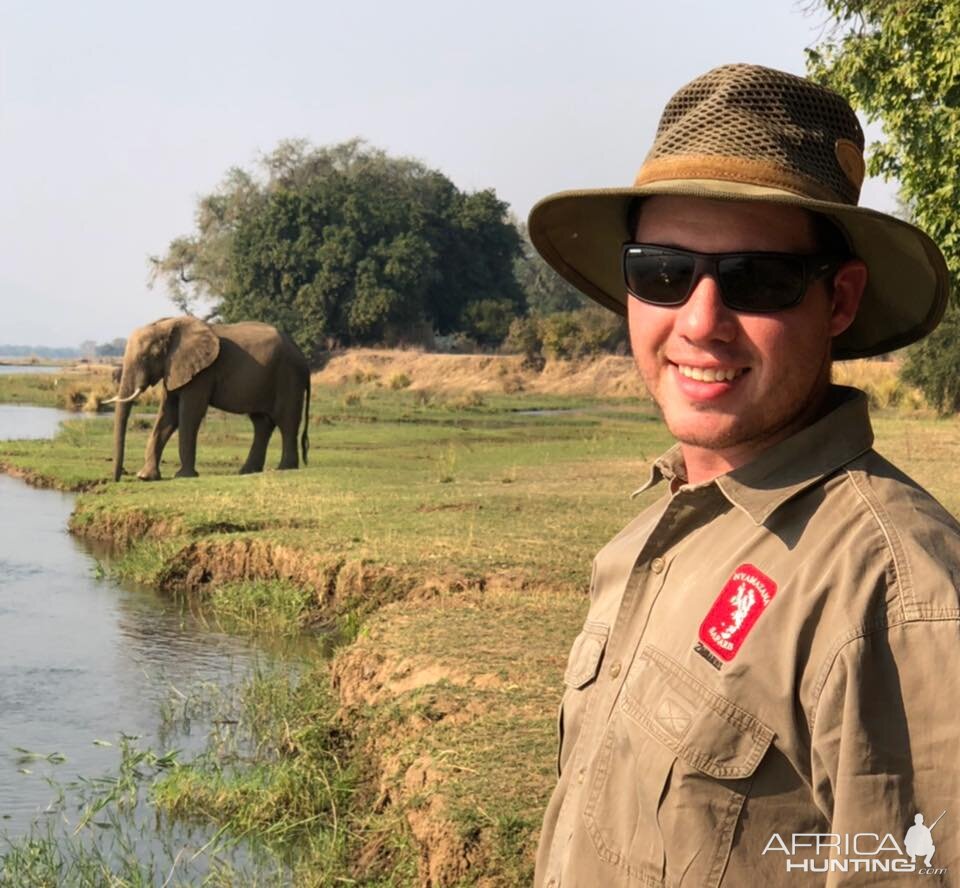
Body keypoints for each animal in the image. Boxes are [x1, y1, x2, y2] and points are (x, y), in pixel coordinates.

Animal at [108, 320, 312, 482]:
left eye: (144, 357)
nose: (117, 478)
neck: (167, 325)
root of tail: (302, 355)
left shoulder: (202, 373)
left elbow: (189, 414)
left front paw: (183, 476)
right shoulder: (174, 369)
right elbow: (167, 416)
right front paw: (145, 477)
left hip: (289, 376)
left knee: (286, 421)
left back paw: (285, 468)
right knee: (262, 423)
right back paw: (247, 471)